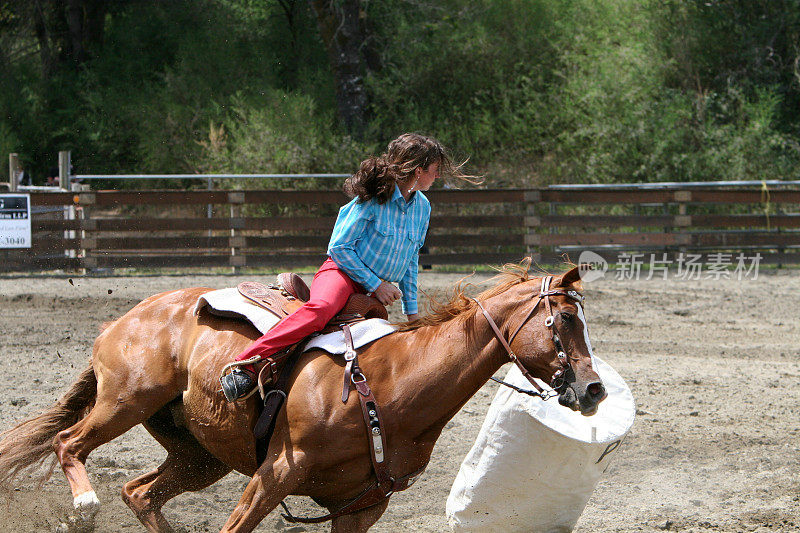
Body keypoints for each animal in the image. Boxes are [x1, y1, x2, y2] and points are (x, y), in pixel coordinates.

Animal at [0, 262, 604, 532]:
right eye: (562, 321)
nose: (594, 388)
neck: (392, 386)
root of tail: (122, 318)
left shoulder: (362, 506)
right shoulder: (278, 471)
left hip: (199, 455)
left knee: (141, 493)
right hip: (126, 401)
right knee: (68, 441)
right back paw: (83, 503)